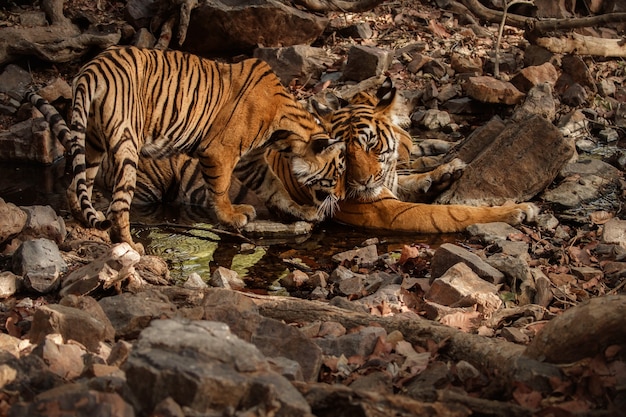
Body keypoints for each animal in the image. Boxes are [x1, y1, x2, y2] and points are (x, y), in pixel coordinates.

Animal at [31, 46, 344, 249]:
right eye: (338, 172)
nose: (341, 197)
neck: (284, 131)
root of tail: (92, 69)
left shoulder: (251, 161)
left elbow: (274, 186)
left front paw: (301, 210)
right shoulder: (220, 152)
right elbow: (219, 189)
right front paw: (232, 216)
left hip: (92, 141)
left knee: (76, 184)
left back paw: (84, 220)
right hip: (127, 143)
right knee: (118, 206)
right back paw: (133, 248)